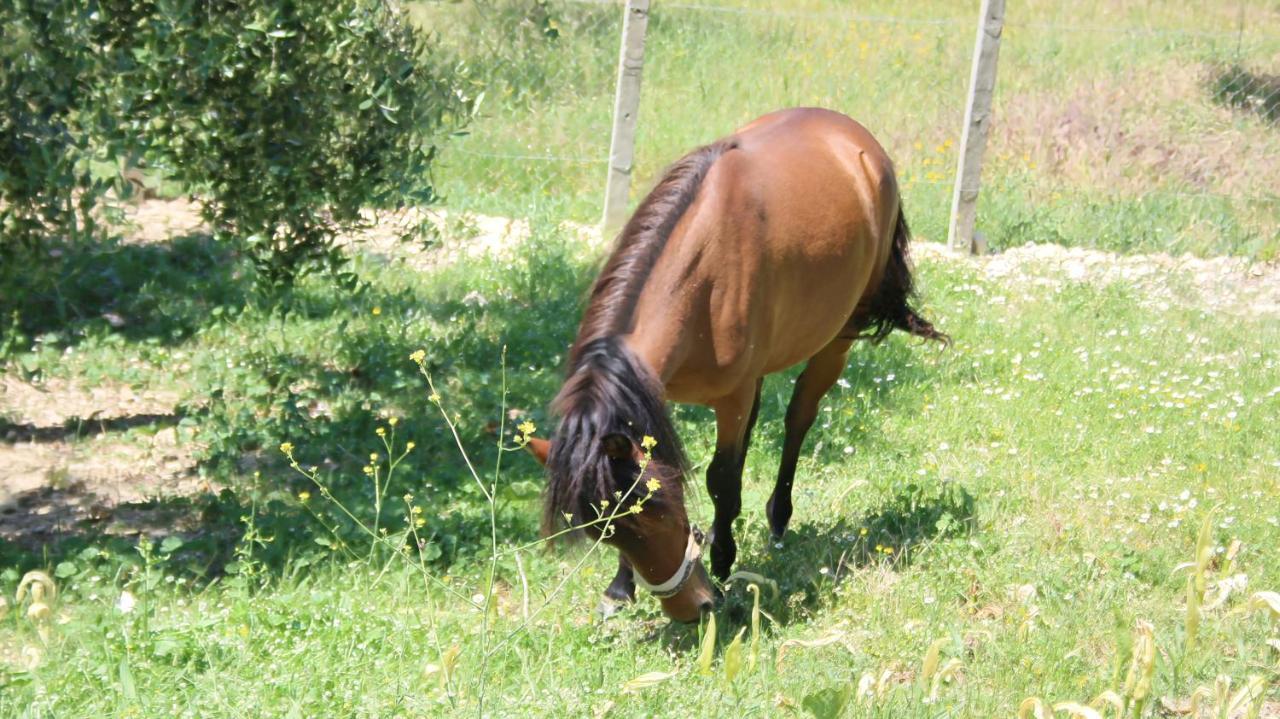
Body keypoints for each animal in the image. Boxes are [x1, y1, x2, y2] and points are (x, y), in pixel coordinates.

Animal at [522, 107, 952, 621]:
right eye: (604, 532)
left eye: (663, 514)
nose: (688, 609)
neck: (701, 273)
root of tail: (855, 138)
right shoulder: (656, 395)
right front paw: (620, 588)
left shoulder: (732, 396)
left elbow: (720, 478)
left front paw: (724, 563)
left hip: (838, 338)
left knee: (798, 418)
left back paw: (777, 518)